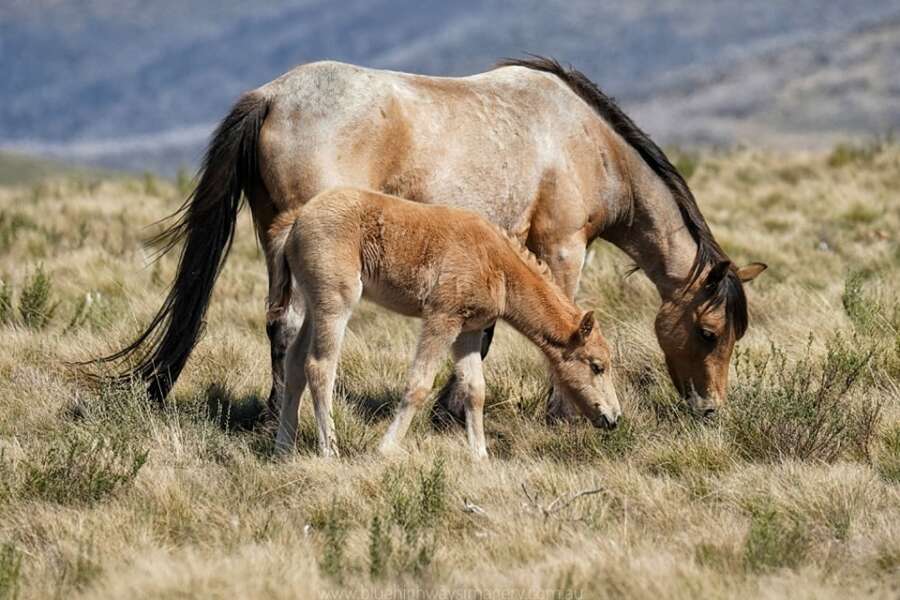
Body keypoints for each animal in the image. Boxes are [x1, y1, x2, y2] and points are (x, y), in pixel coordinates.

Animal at [90, 55, 765, 422]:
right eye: (710, 332)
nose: (711, 410)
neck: (586, 141)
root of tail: (273, 95)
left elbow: (485, 334)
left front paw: (450, 408)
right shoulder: (562, 247)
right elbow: (564, 326)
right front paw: (562, 414)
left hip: (274, 237)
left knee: (277, 322)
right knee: (295, 327)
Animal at [266, 187, 620, 458]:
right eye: (597, 366)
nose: (614, 418)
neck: (496, 263)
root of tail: (296, 219)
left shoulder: (470, 330)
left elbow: (475, 389)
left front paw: (480, 456)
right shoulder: (442, 318)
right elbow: (419, 383)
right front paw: (386, 449)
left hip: (314, 303)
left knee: (295, 363)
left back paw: (283, 448)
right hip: (335, 303)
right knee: (319, 367)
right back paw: (330, 450)